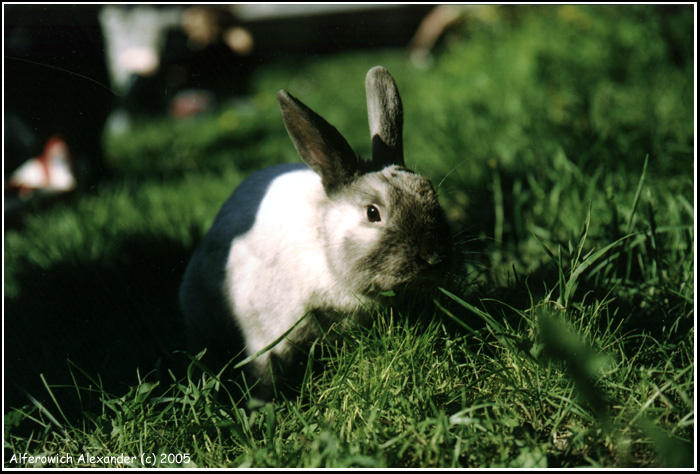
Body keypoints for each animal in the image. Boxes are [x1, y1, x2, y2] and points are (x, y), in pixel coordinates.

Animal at [179, 66, 452, 395]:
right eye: (372, 213)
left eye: (431, 193)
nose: (435, 257)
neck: (326, 252)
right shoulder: (269, 336)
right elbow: (265, 371)